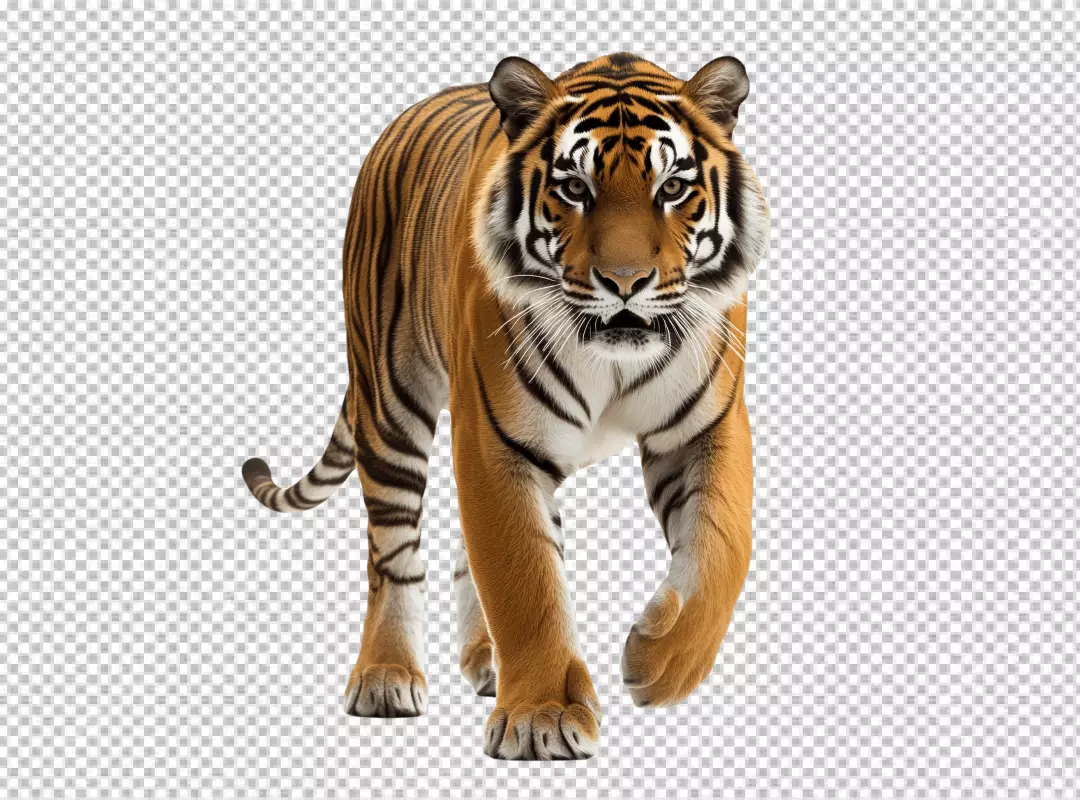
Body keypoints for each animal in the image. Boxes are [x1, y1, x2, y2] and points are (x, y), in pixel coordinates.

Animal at [243, 52, 769, 760]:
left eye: (672, 188)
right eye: (574, 188)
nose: (626, 283)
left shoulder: (705, 429)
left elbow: (721, 550)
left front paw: (659, 661)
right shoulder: (495, 440)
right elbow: (525, 581)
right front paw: (542, 717)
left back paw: (487, 661)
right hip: (390, 400)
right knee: (393, 555)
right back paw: (386, 675)